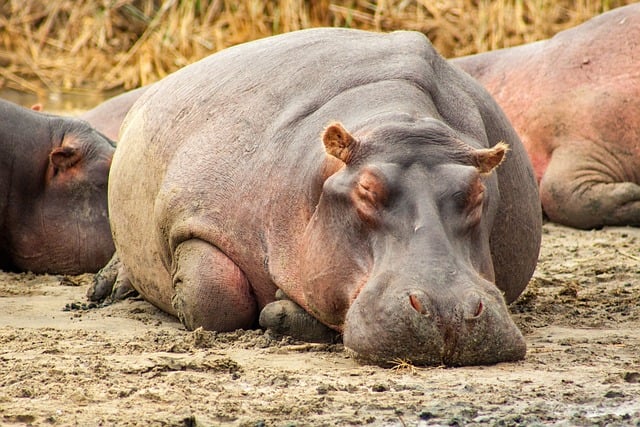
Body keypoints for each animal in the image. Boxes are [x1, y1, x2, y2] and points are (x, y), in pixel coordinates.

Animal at [91, 27, 540, 368]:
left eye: (477, 192)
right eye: (366, 189)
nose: (449, 312)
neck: (399, 124)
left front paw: (279, 312)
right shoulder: (196, 216)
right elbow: (211, 296)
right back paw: (107, 289)